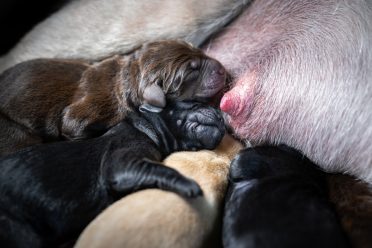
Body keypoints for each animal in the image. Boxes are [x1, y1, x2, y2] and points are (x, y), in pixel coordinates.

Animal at [0, 39, 227, 156]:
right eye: (192, 71)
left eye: (198, 51)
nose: (223, 69)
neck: (129, 76)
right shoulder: (82, 116)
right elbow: (74, 128)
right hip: (16, 133)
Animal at [0, 101, 225, 248]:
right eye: (195, 103)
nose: (221, 112)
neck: (143, 126)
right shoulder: (122, 163)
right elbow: (162, 169)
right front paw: (189, 185)